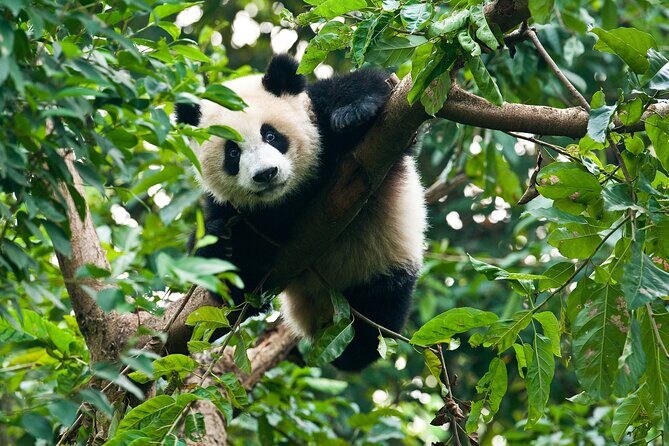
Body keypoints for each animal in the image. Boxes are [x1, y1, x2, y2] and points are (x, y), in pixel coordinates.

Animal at [177, 54, 427, 371]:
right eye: (232, 153)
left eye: (271, 135)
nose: (266, 174)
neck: (291, 196)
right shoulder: (236, 210)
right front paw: (222, 244)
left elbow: (371, 88)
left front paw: (353, 111)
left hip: (383, 263)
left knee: (377, 314)